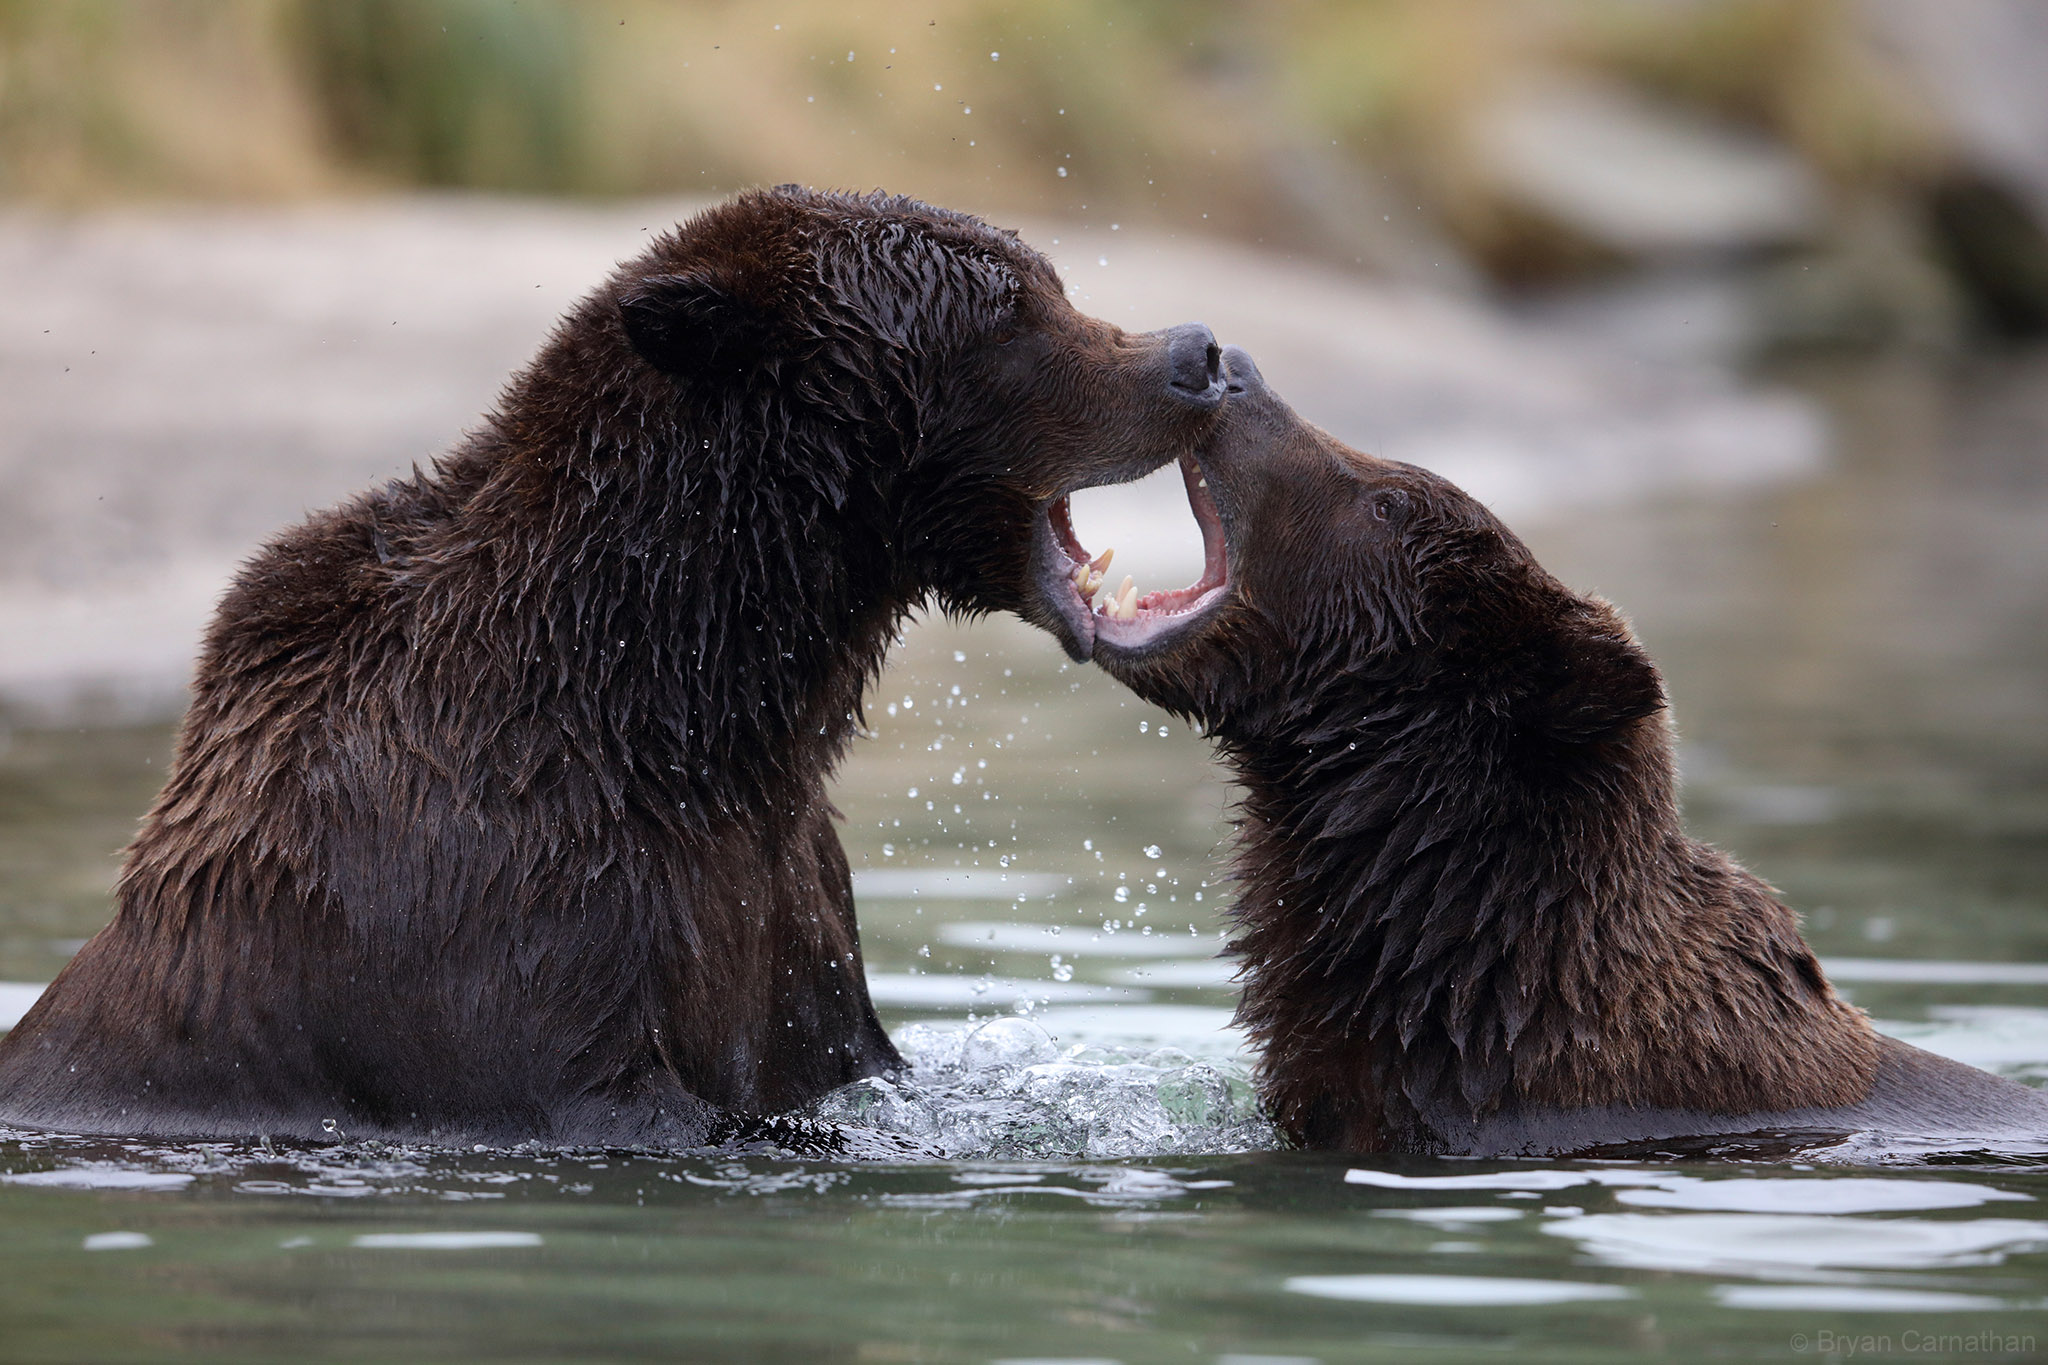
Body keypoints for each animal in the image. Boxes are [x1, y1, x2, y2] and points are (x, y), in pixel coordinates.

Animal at [0, 189, 1212, 1154]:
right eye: (1008, 315)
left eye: (1047, 280)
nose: (1193, 354)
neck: (670, 706)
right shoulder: (492, 899)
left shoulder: (782, 905)